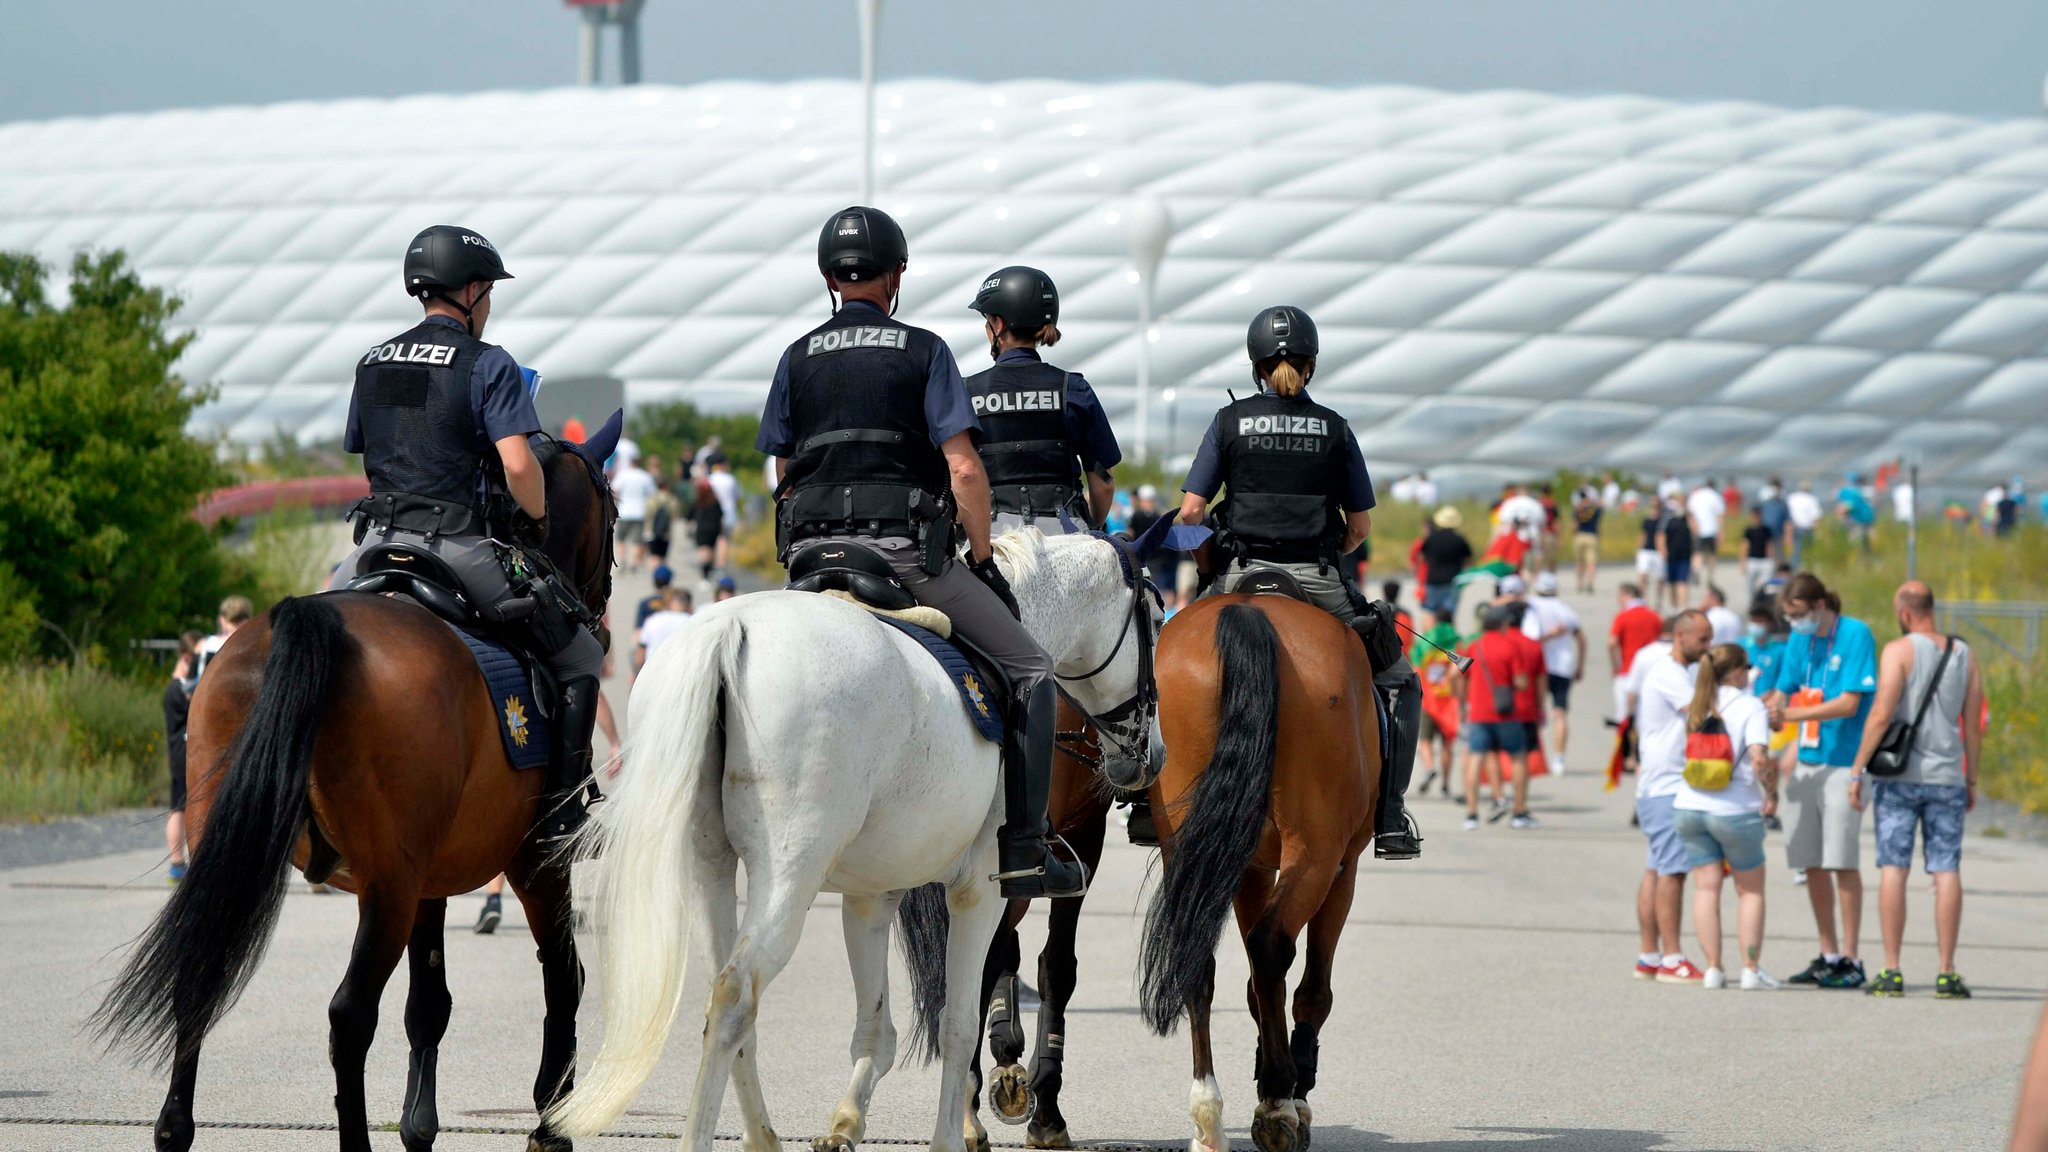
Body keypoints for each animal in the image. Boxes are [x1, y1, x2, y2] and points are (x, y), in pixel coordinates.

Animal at [92, 424, 614, 1147]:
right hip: (388, 888)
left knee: (199, 979)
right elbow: (564, 976)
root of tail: (302, 623)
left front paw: (419, 1127)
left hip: (235, 852)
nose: (599, 610)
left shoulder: (429, 880)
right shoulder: (534, 861)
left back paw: (174, 1129)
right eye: (613, 514)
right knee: (350, 1014)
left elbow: (429, 1004)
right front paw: (551, 1119)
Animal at [548, 528, 1155, 1147]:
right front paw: (949, 1135)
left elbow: (877, 1027)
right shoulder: (979, 891)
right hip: (790, 872)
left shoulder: (872, 894)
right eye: (1155, 617)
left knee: (728, 998)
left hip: (709, 867)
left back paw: (763, 1134)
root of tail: (729, 631)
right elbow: (958, 1023)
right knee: (736, 994)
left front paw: (847, 1122)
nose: (1146, 753)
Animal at [1146, 590, 1384, 1147]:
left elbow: (1258, 989)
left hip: (1190, 843)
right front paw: (1293, 1089)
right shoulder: (1343, 868)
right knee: (1272, 945)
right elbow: (1309, 988)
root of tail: (1249, 611)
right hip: (1317, 852)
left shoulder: (1246, 866)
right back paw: (1279, 1098)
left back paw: (1208, 1117)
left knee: (1199, 957)